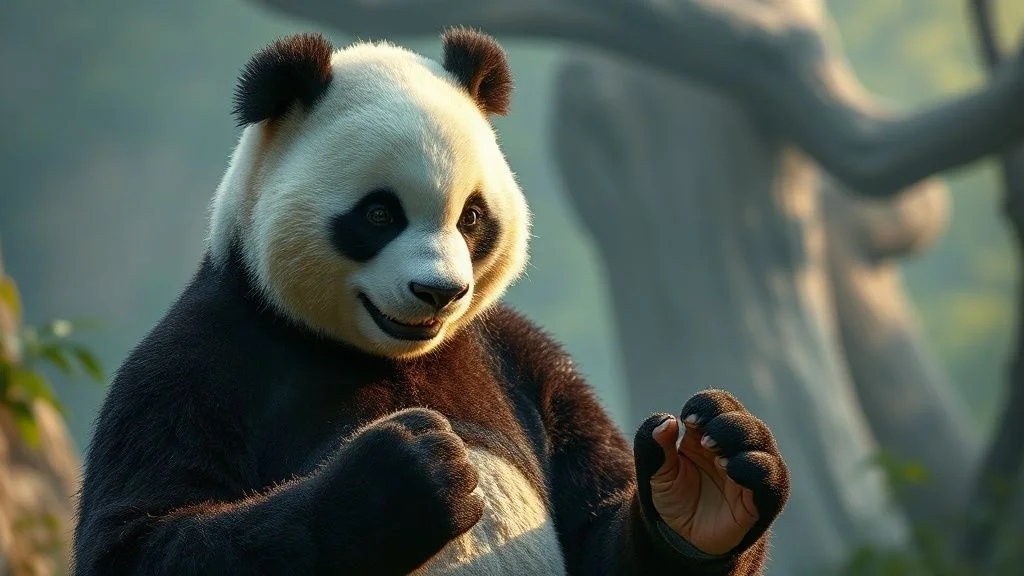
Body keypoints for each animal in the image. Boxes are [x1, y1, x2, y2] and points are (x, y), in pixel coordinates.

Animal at [73, 28, 790, 576]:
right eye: (379, 213)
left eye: (471, 217)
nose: (439, 291)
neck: (389, 355)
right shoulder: (198, 362)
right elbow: (140, 538)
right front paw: (400, 481)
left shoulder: (526, 359)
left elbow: (597, 525)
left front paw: (709, 477)